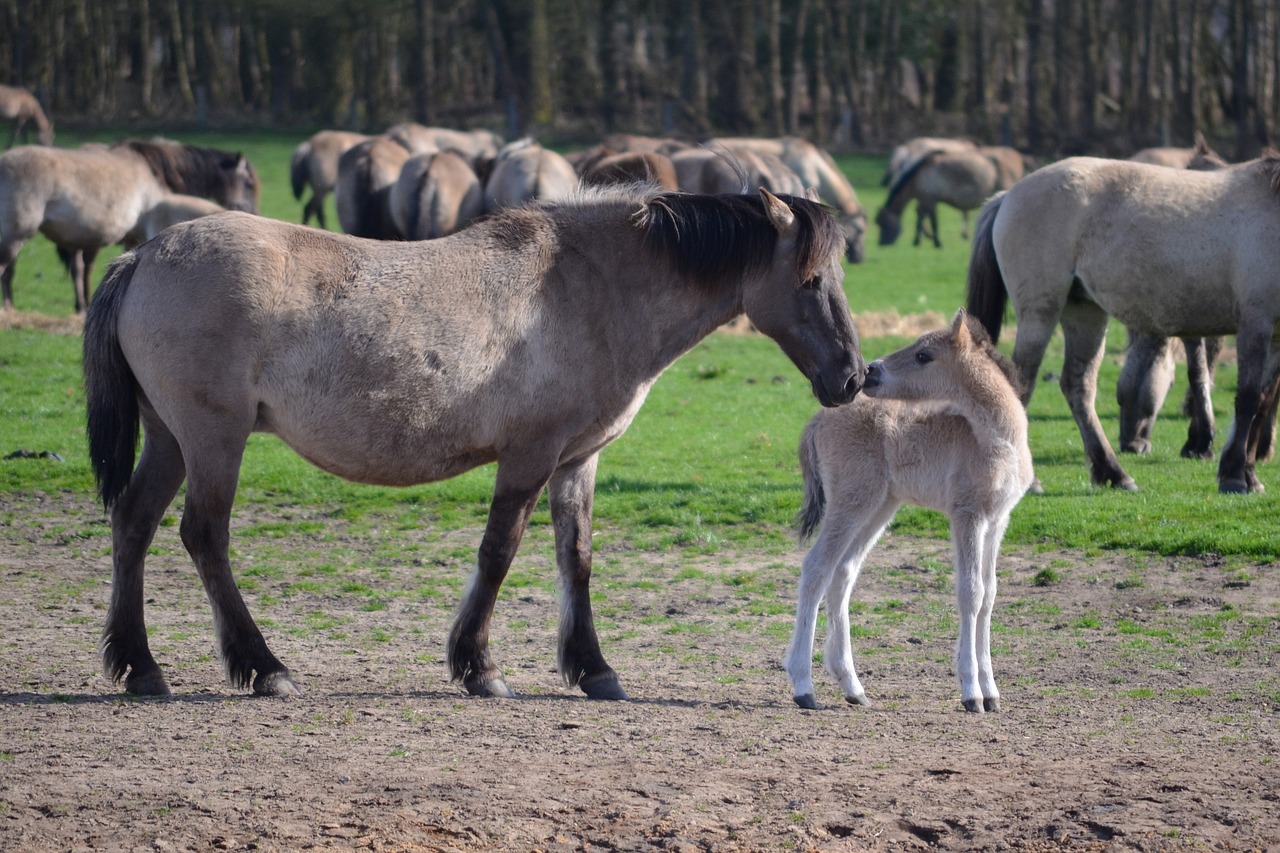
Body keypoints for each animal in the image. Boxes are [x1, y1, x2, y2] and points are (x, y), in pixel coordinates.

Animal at [85, 185, 870, 696]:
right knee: (203, 534)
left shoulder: (578, 461)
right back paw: (264, 666)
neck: (592, 286)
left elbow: (576, 558)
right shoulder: (529, 456)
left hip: (170, 439)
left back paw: (141, 667)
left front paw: (593, 668)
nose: (852, 376)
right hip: (213, 438)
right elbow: (499, 553)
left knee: (134, 523)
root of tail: (142, 257)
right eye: (810, 281)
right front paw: (478, 666)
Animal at [783, 312, 1034, 712]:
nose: (870, 372)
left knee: (843, 572)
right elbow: (971, 592)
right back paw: (804, 687)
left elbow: (990, 595)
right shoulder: (967, 514)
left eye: (923, 356)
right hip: (852, 500)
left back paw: (853, 686)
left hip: (879, 505)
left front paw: (992, 692)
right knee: (816, 568)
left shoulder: (997, 520)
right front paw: (971, 693)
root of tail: (819, 420)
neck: (996, 439)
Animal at [962, 153, 1280, 491]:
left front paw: (1248, 473)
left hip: (1084, 314)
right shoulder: (1255, 325)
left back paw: (1113, 472)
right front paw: (1234, 475)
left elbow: (1263, 402)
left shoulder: (1275, 338)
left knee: (1078, 388)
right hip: (1040, 314)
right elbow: (1248, 399)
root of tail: (1007, 195)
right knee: (1021, 383)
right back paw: (1033, 481)